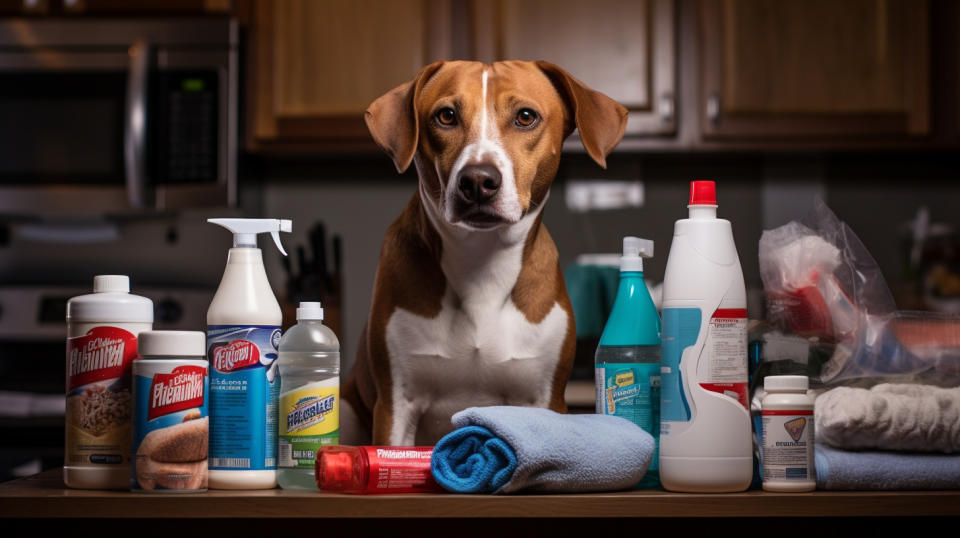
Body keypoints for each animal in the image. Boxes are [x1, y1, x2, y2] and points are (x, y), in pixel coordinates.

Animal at [342, 59, 628, 444]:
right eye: (446, 116)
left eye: (525, 116)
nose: (478, 180)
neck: (481, 263)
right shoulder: (395, 406)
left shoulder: (545, 399)